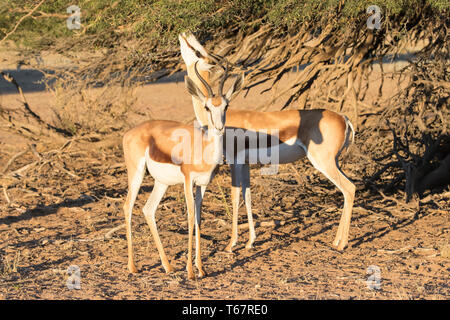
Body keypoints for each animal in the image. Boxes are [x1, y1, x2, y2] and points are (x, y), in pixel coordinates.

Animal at [122, 61, 243, 278]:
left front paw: (201, 268)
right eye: (207, 106)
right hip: (136, 173)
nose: (219, 127)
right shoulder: (188, 181)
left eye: (226, 105)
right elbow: (189, 215)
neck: (203, 149)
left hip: (161, 182)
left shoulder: (202, 184)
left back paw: (167, 266)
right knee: (128, 206)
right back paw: (133, 267)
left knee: (148, 209)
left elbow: (199, 218)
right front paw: (190, 271)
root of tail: (129, 132)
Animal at [178, 32, 356, 252]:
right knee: (348, 189)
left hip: (323, 162)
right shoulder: (245, 164)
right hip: (335, 162)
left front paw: (231, 244)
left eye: (197, 51)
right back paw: (336, 241)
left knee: (349, 188)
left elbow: (235, 197)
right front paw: (250, 241)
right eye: (208, 106)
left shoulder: (235, 162)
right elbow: (247, 197)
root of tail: (343, 118)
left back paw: (342, 244)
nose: (185, 34)